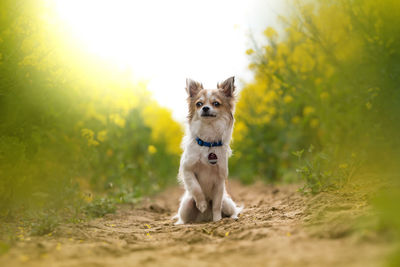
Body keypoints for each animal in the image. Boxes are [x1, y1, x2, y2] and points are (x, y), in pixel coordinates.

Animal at [176, 76, 244, 225]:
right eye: (199, 104)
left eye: (216, 103)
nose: (205, 108)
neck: (208, 143)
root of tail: (203, 218)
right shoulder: (187, 169)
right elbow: (195, 187)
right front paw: (202, 204)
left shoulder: (219, 180)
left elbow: (216, 205)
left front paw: (217, 220)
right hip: (186, 206)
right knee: (184, 218)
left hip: (227, 203)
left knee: (232, 209)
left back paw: (232, 217)